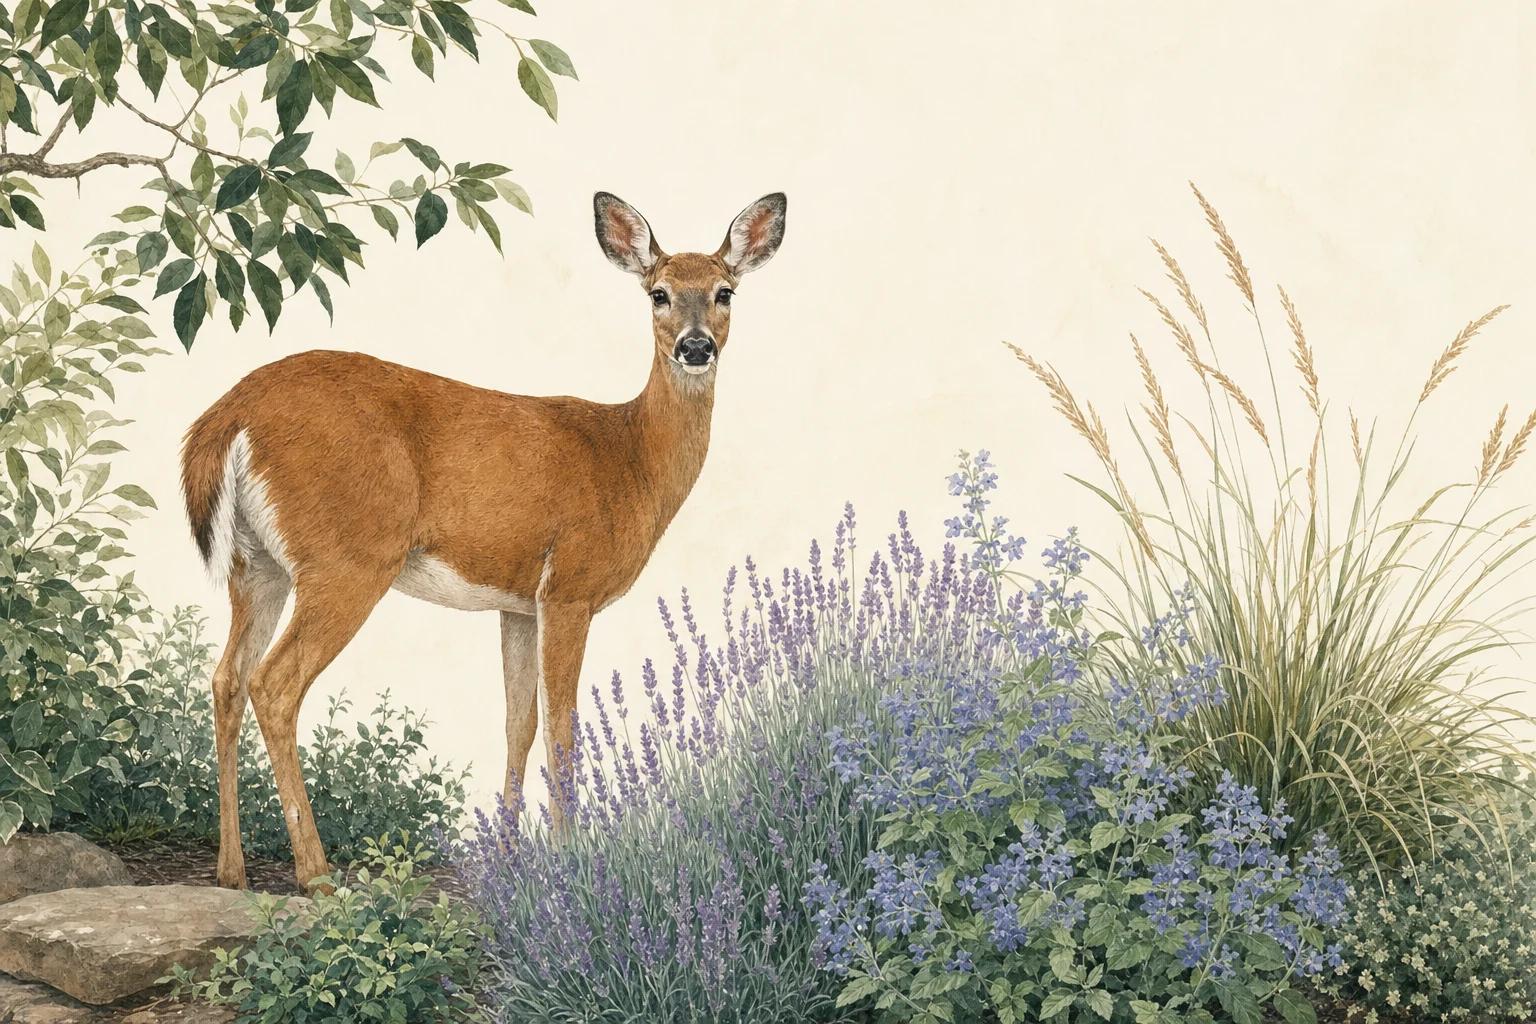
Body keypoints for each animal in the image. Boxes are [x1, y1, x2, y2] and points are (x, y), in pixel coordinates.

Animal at [180, 192, 787, 890]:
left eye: (724, 292)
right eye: (658, 293)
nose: (695, 346)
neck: (628, 457)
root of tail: (225, 417)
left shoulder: (518, 603)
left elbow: (517, 723)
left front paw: (511, 853)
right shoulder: (570, 586)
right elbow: (561, 728)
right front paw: (569, 860)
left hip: (257, 564)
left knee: (226, 677)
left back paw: (231, 870)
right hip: (348, 557)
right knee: (274, 684)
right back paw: (317, 873)